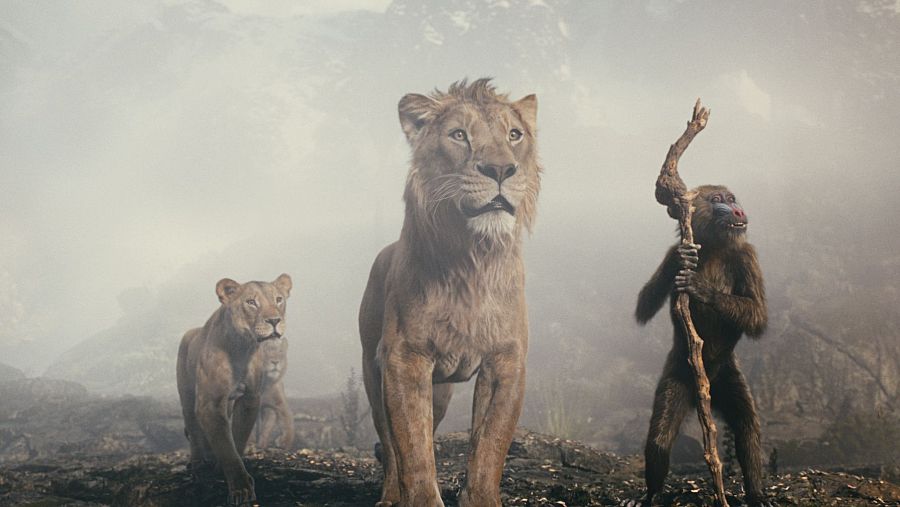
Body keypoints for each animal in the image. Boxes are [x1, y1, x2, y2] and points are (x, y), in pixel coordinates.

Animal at [176, 274, 292, 507]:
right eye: (251, 302)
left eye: (278, 299)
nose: (274, 321)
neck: (242, 348)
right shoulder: (209, 404)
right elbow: (225, 446)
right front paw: (241, 489)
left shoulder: (250, 399)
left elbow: (237, 438)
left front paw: (226, 471)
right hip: (187, 396)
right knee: (193, 429)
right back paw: (198, 465)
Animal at [359, 78, 541, 507]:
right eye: (459, 135)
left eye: (514, 135)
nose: (500, 169)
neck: (473, 260)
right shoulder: (404, 359)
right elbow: (413, 450)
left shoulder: (506, 360)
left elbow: (490, 446)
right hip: (373, 371)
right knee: (390, 445)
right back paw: (390, 495)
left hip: (440, 391)